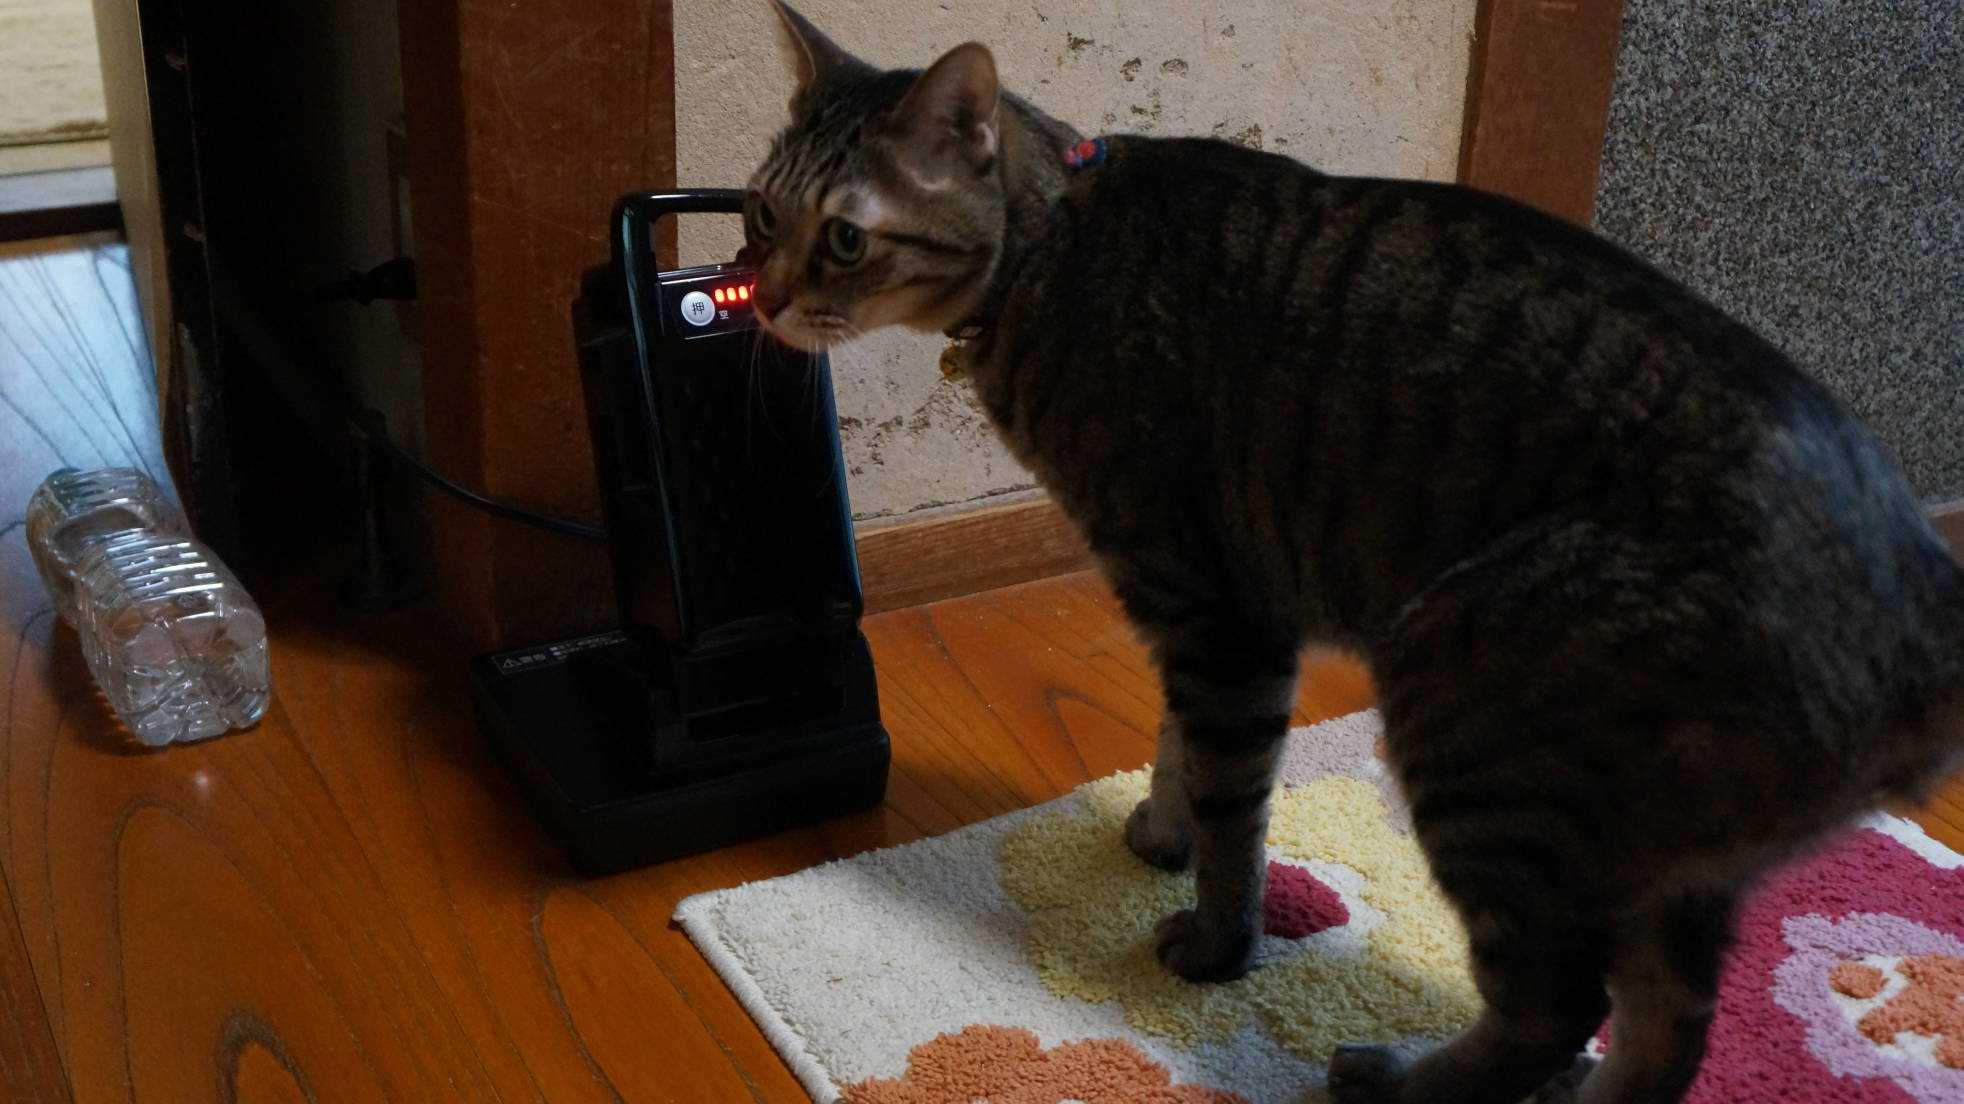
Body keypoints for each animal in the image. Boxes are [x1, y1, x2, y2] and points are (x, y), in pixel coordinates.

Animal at [740, 6, 1964, 1102]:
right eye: (759, 212)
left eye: (842, 235)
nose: (764, 297)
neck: (1051, 244)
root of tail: (1917, 608)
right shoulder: (1197, 614)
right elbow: (1176, 745)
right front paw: (1161, 828)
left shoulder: (1217, 613)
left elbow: (1231, 800)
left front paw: (1216, 942)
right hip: (1662, 862)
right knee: (1663, 1038)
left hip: (1474, 714)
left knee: (1556, 1007)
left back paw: (1395, 1083)